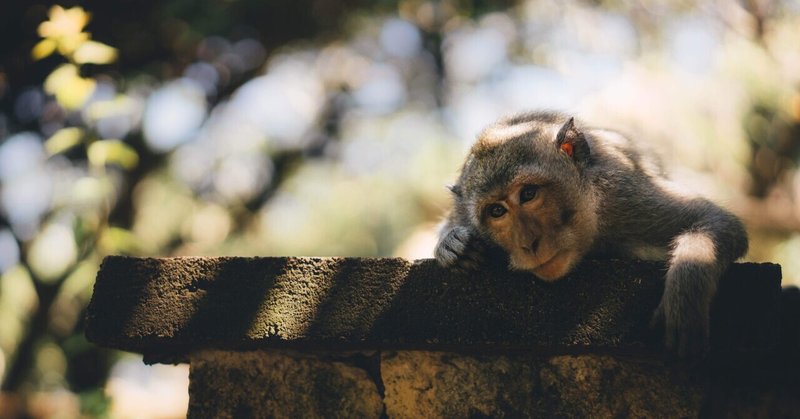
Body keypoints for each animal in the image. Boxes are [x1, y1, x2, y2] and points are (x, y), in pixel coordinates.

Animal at [434, 110, 748, 358]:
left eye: (528, 194)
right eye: (497, 211)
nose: (528, 244)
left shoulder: (620, 196)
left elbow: (715, 220)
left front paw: (685, 298)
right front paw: (452, 246)